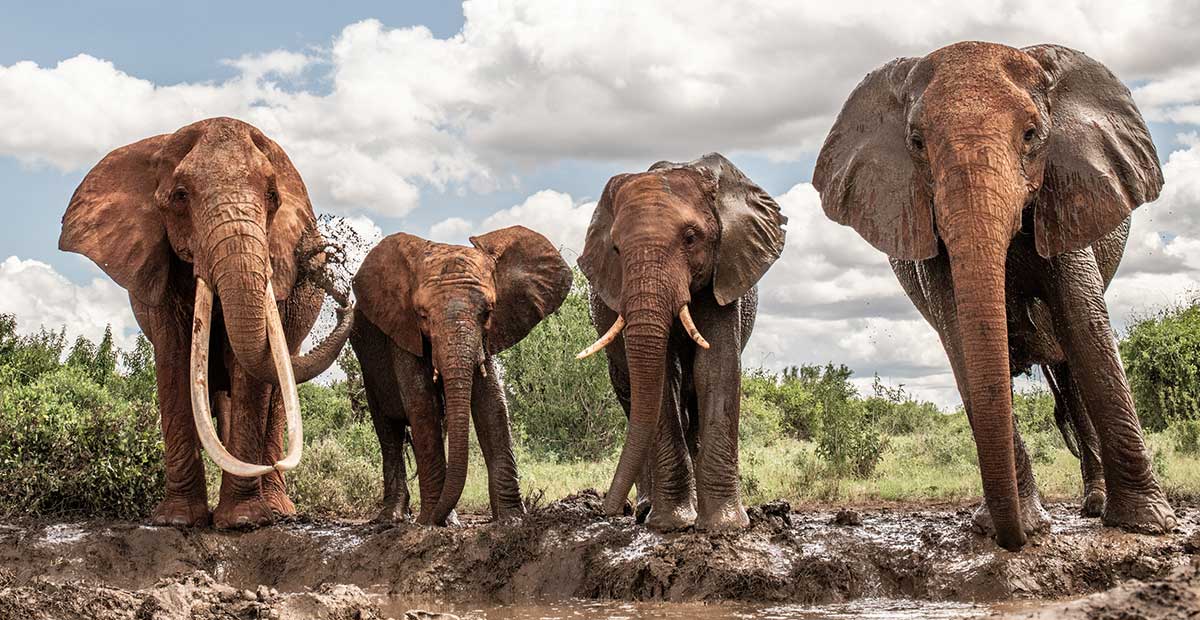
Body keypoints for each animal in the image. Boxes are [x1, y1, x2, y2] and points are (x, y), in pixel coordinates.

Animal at [59, 117, 354, 529]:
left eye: (272, 196)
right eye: (181, 196)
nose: (344, 300)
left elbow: (249, 372)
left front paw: (243, 521)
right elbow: (174, 358)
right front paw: (178, 521)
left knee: (279, 388)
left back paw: (278, 509)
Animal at [350, 226, 571, 525]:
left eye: (487, 313)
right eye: (422, 316)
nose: (429, 519)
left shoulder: (487, 335)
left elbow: (492, 404)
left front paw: (511, 519)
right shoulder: (401, 329)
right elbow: (422, 405)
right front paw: (432, 522)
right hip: (367, 364)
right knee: (388, 430)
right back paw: (394, 518)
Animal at [577, 153, 787, 532]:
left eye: (691, 238)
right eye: (615, 249)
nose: (608, 510)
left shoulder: (724, 268)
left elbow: (716, 368)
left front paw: (724, 526)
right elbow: (661, 379)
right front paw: (670, 523)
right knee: (635, 402)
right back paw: (648, 509)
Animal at [812, 41, 1175, 550]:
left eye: (1031, 135)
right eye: (917, 142)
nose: (1014, 539)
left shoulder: (1065, 193)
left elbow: (1086, 326)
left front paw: (1146, 525)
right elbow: (961, 338)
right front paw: (1017, 525)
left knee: (1071, 373)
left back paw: (1096, 505)